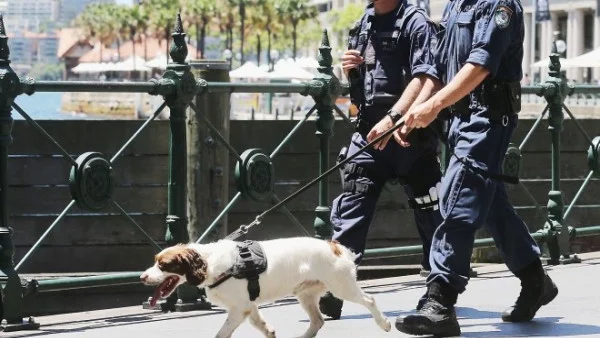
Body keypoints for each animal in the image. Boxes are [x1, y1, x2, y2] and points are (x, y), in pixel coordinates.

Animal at [141, 236, 394, 338]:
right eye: (154, 261)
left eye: (163, 265)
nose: (142, 277)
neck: (209, 262)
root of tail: (335, 247)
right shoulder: (247, 305)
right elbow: (260, 324)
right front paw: (270, 333)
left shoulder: (238, 308)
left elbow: (222, 333)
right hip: (306, 294)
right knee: (318, 321)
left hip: (342, 286)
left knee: (369, 300)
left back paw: (385, 324)